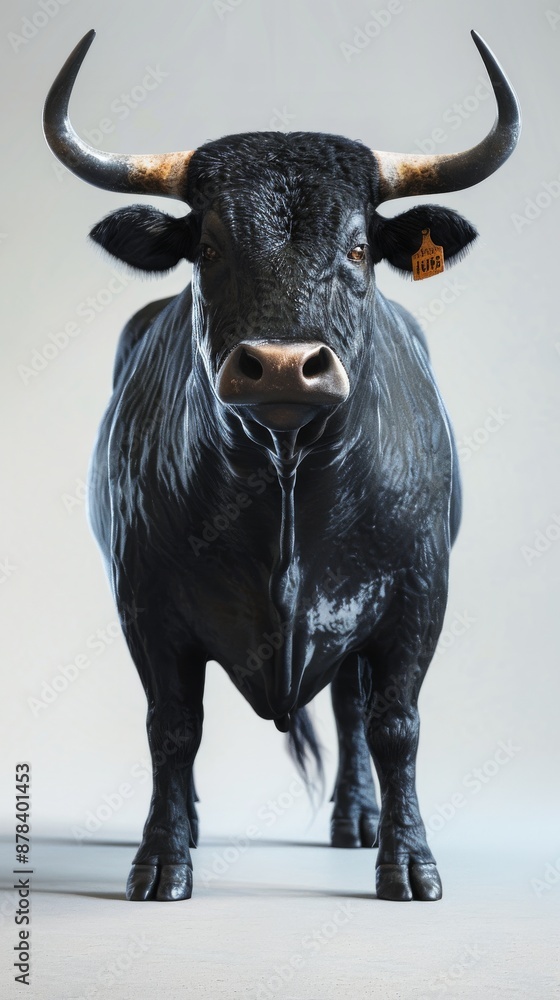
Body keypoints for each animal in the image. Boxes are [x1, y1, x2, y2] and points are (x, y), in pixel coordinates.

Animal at [43, 29, 519, 902]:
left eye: (360, 247)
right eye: (208, 246)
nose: (285, 366)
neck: (289, 482)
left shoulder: (417, 596)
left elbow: (396, 725)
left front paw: (409, 862)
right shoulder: (145, 603)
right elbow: (172, 726)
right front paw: (162, 859)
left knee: (354, 712)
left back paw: (357, 820)